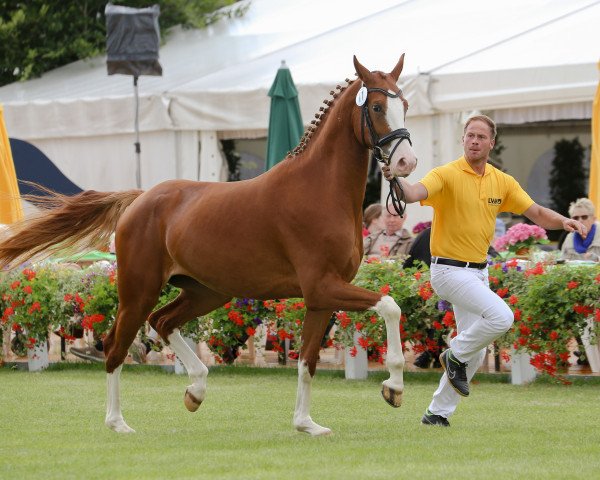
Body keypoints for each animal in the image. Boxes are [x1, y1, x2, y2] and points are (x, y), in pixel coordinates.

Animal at [1, 55, 418, 436]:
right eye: (376, 107)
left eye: (406, 104)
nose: (406, 162)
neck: (319, 190)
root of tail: (140, 198)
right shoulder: (323, 286)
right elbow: (390, 306)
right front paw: (393, 388)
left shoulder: (320, 297)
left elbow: (307, 361)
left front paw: (306, 424)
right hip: (139, 291)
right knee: (116, 344)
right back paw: (118, 422)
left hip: (206, 292)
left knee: (163, 321)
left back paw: (196, 389)